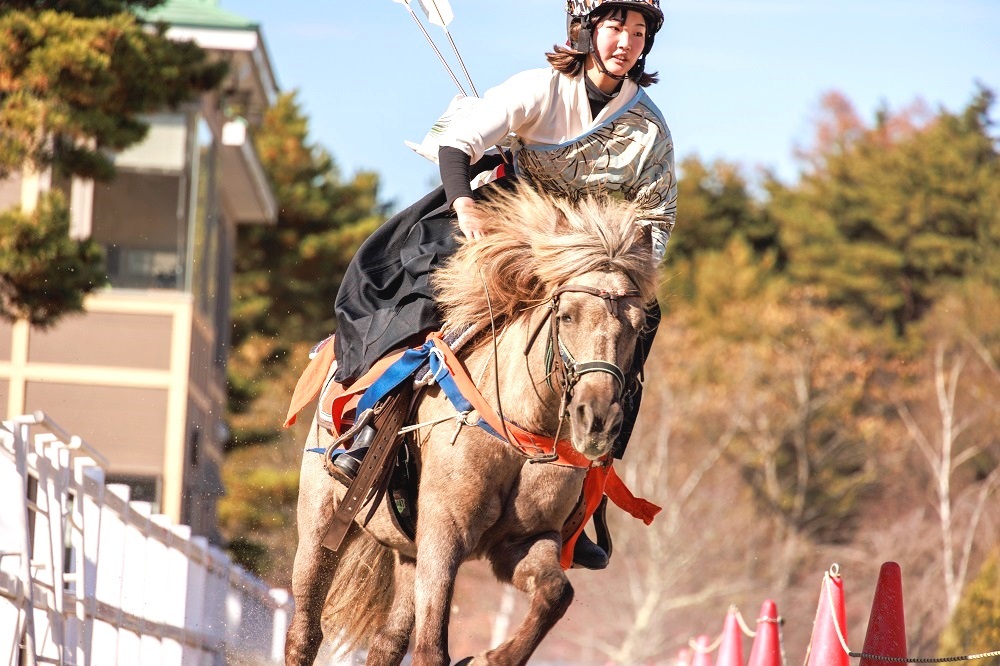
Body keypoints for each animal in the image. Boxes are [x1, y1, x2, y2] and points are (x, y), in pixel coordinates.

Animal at [286, 183, 660, 664]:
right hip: (321, 522)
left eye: (638, 326)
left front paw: (490, 658)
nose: (596, 418)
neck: (516, 435)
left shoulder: (522, 541)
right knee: (305, 631)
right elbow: (432, 649)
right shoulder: (444, 537)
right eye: (567, 315)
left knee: (387, 643)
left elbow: (556, 593)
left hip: (407, 550)